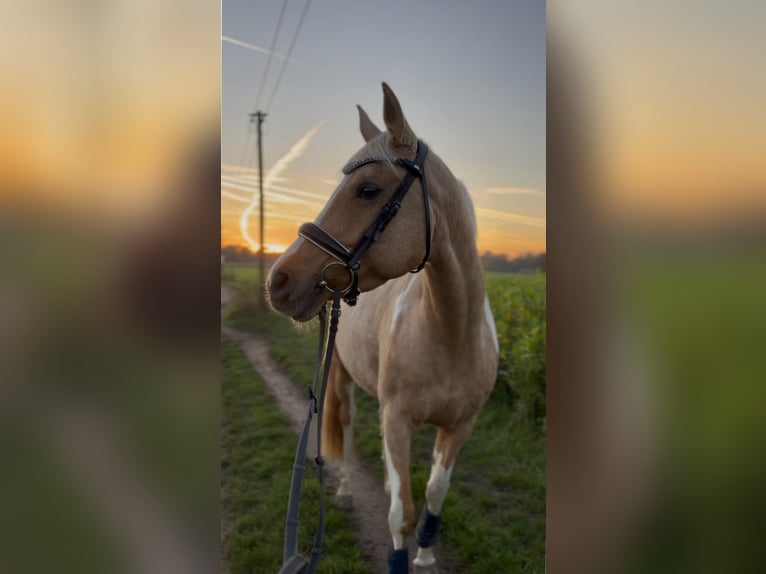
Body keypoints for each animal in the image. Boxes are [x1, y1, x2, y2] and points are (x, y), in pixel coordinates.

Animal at [268, 83, 500, 572]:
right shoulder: (397, 419)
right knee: (347, 431)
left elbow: (434, 495)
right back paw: (345, 492)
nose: (279, 281)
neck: (451, 334)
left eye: (368, 189)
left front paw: (426, 558)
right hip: (342, 380)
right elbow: (400, 515)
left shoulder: (460, 425)